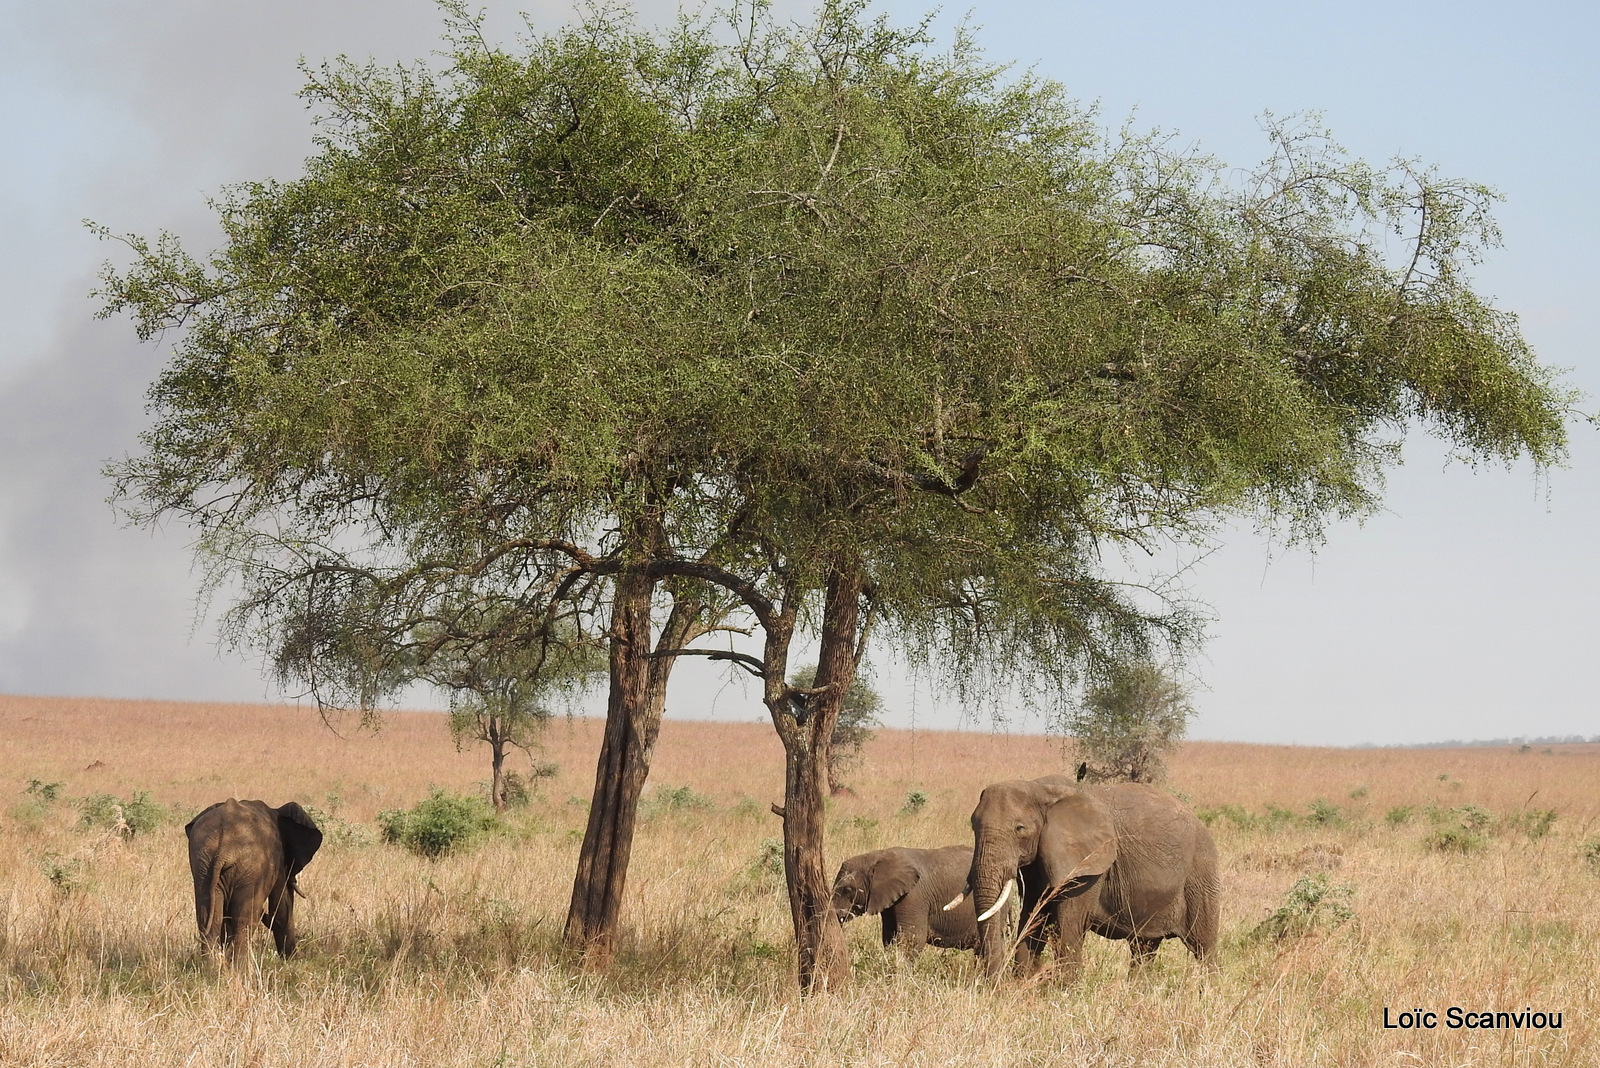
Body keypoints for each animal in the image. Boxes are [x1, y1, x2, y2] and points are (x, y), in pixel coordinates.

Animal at [184, 796, 321, 965]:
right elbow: (281, 907)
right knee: (245, 919)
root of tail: (224, 846)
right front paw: (291, 961)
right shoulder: (278, 859)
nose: (299, 957)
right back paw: (239, 967)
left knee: (208, 917)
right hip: (250, 868)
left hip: (203, 864)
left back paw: (212, 968)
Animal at [940, 770, 1216, 978]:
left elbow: (1068, 923)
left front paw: (1064, 992)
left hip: (1201, 873)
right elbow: (1032, 918)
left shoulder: (1089, 865)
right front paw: (1022, 985)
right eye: (973, 825)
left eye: (1020, 829)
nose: (993, 984)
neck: (1039, 788)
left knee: (1203, 947)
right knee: (1144, 947)